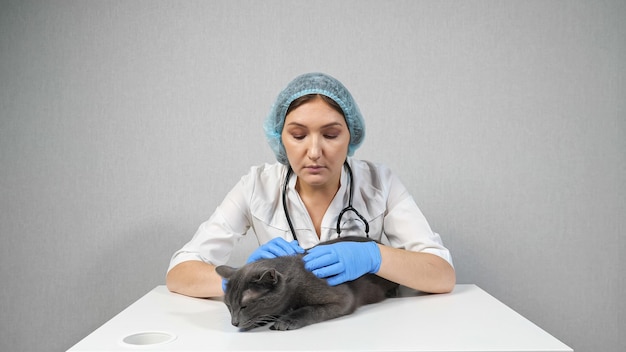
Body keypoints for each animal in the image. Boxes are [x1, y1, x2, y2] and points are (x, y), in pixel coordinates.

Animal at [217, 236, 398, 330]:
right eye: (228, 306)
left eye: (244, 306)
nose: (234, 323)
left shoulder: (343, 298)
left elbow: (311, 309)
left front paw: (286, 321)